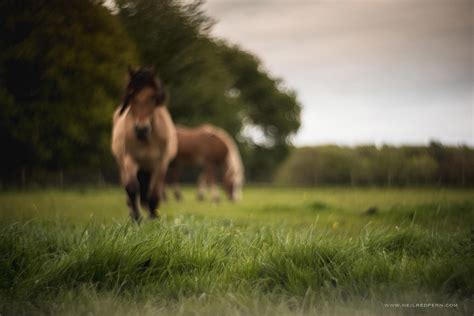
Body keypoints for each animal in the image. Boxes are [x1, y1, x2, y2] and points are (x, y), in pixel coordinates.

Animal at [110, 65, 177, 221]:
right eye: (131, 95)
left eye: (153, 97)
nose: (141, 129)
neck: (147, 139)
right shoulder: (129, 159)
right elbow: (132, 188)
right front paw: (137, 217)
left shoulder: (160, 163)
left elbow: (154, 191)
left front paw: (153, 217)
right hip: (124, 165)